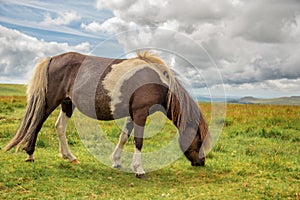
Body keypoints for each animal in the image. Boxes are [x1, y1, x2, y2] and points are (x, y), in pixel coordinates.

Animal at [5, 51, 210, 178]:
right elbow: (138, 141)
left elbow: (124, 137)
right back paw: (30, 154)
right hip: (51, 102)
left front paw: (116, 162)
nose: (201, 162)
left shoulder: (132, 114)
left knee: (60, 127)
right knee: (37, 123)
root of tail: (53, 59)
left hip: (67, 103)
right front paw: (139, 169)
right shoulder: (140, 113)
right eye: (199, 140)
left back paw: (69, 156)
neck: (156, 81)